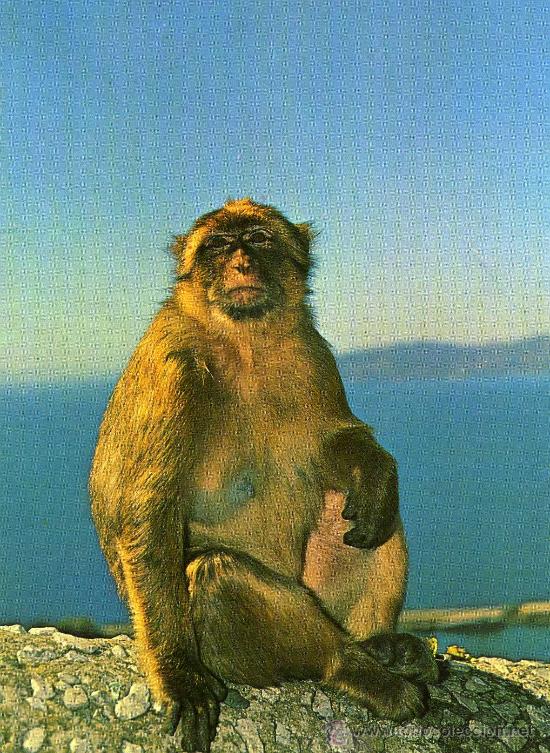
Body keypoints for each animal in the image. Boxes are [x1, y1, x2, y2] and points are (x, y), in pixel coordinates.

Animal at [89, 198, 439, 752]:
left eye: (258, 239)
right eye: (216, 245)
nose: (241, 264)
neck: (244, 342)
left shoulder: (311, 352)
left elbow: (330, 446)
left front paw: (377, 471)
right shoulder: (172, 369)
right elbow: (149, 511)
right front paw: (178, 674)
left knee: (364, 517)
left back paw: (379, 644)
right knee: (215, 577)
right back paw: (356, 669)